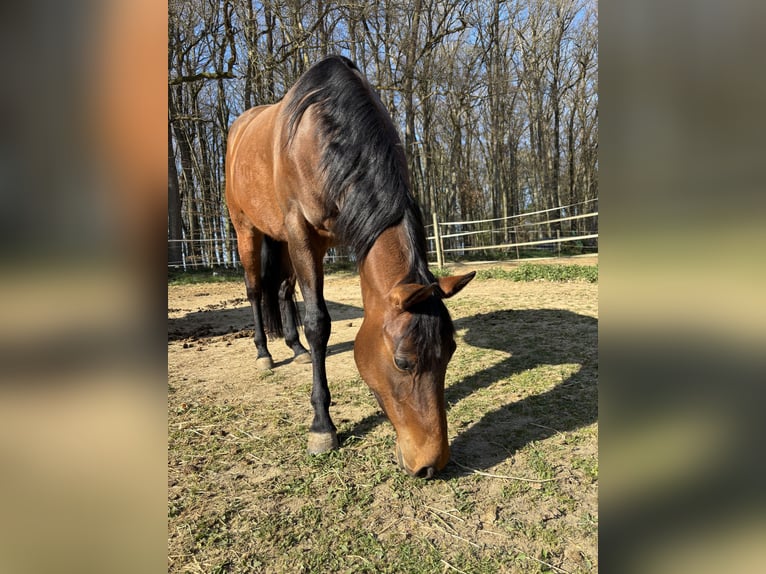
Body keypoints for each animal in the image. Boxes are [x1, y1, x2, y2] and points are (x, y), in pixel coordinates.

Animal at [225, 55, 474, 478]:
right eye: (403, 361)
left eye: (451, 351)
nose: (430, 465)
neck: (323, 132)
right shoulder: (301, 232)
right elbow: (318, 322)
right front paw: (322, 427)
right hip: (248, 231)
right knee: (256, 289)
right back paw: (264, 354)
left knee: (282, 289)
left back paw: (295, 347)